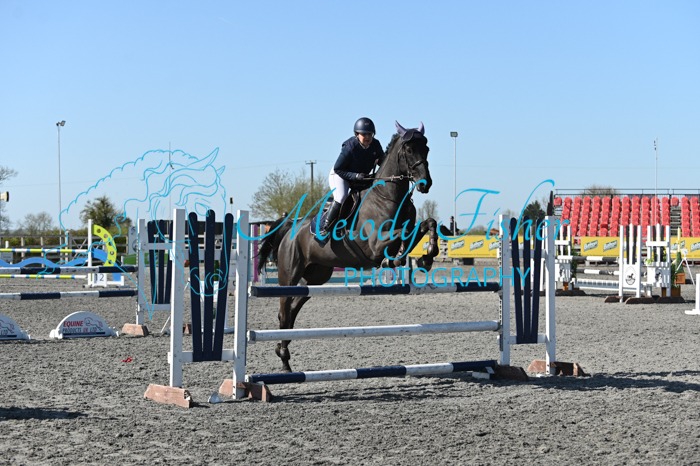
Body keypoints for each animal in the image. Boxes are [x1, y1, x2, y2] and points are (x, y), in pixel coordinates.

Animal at [257, 121, 439, 372]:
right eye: (409, 150)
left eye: (427, 149)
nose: (425, 184)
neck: (388, 196)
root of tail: (291, 227)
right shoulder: (375, 244)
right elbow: (399, 237)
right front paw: (397, 258)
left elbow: (427, 224)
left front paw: (428, 256)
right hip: (289, 275)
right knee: (284, 311)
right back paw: (284, 360)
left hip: (316, 277)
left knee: (293, 308)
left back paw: (282, 351)